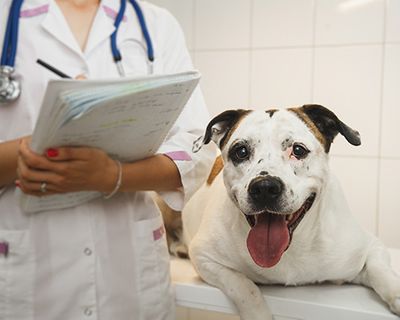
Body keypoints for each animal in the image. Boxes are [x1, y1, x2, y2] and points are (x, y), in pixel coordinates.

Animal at [180, 105, 400, 320]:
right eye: (241, 151)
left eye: (298, 150)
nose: (265, 187)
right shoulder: (204, 257)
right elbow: (244, 287)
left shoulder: (369, 247)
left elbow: (380, 269)